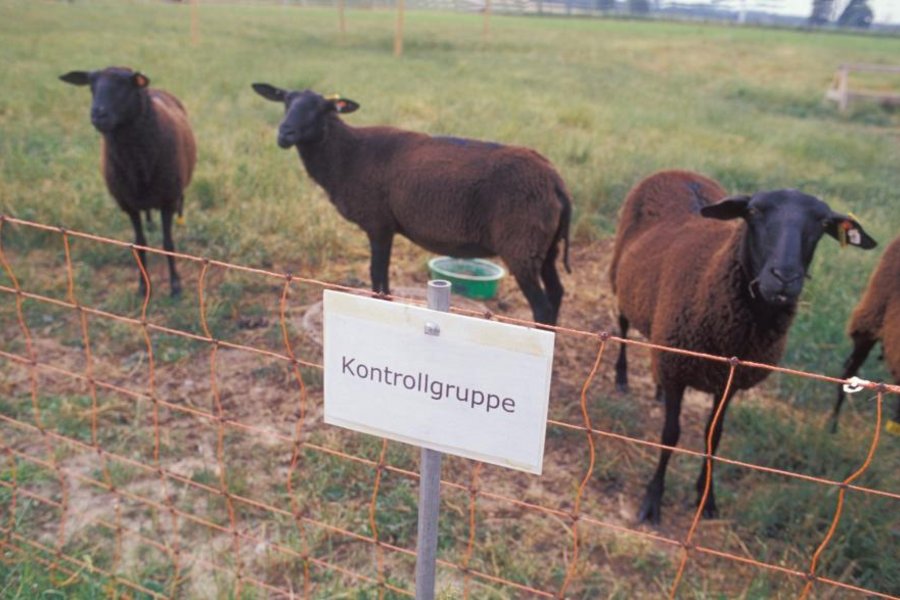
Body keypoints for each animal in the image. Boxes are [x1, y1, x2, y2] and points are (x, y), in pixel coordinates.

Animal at [59, 67, 196, 296]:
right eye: (91, 86)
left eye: (124, 87)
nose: (98, 114)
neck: (137, 164)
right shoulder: (128, 205)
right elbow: (139, 244)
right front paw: (143, 286)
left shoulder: (167, 201)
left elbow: (168, 243)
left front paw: (175, 285)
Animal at [250, 85, 572, 324]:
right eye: (286, 101)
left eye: (321, 108)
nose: (285, 134)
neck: (347, 154)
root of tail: (555, 180)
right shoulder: (386, 226)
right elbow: (381, 278)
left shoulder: (378, 224)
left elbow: (377, 277)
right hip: (545, 247)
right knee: (557, 293)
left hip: (521, 244)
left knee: (542, 306)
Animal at [608, 170, 876, 524]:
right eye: (753, 211)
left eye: (821, 223)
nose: (784, 278)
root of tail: (678, 173)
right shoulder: (678, 368)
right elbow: (670, 435)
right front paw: (652, 501)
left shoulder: (729, 381)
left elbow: (714, 436)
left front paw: (706, 498)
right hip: (621, 281)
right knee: (624, 325)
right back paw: (622, 377)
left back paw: (657, 390)